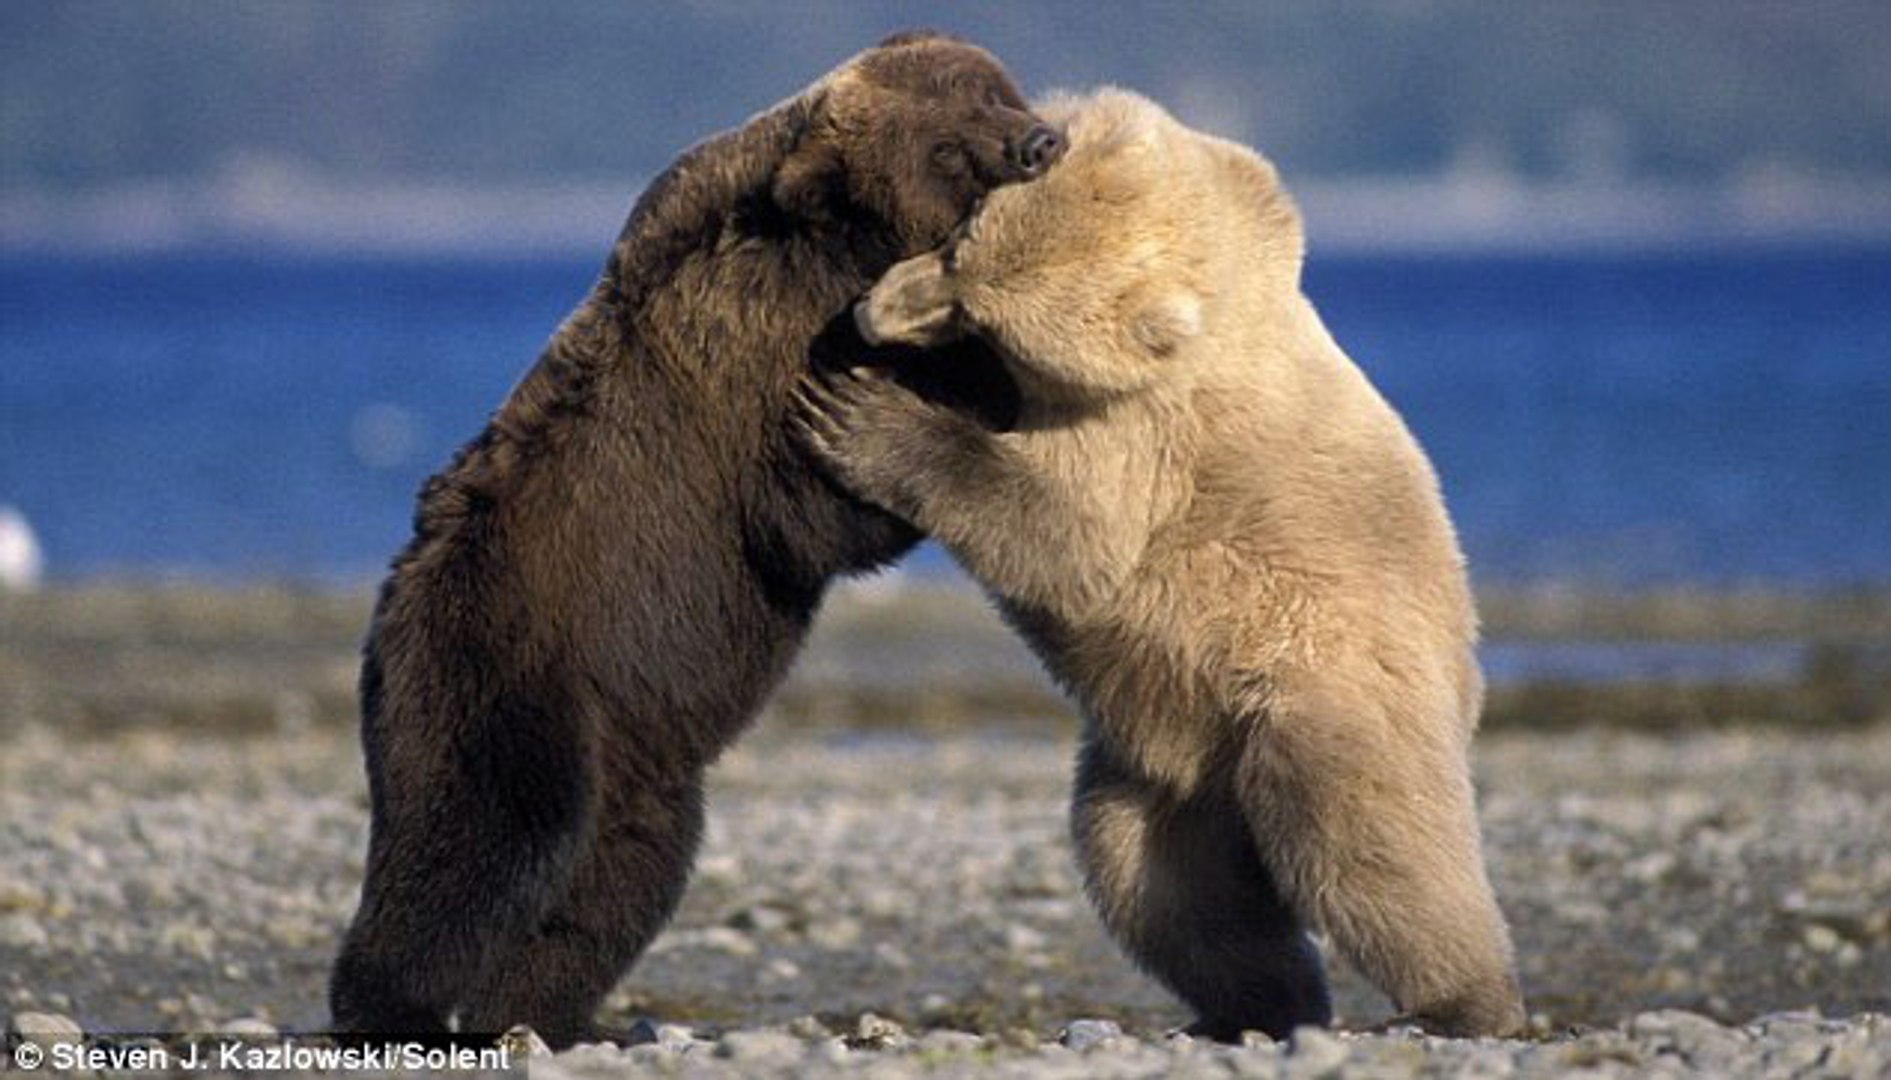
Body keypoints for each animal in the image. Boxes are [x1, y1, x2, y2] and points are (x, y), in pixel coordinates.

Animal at [327, 32, 1062, 1048]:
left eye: (995, 91)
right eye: (949, 145)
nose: (1037, 143)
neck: (842, 244)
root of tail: (396, 597)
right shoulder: (753, 363)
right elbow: (815, 515)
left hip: (635, 749)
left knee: (617, 880)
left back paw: (548, 1015)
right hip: (502, 663)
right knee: (481, 838)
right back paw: (392, 1004)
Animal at [794, 88, 1526, 1039]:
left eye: (979, 313)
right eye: (958, 245)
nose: (869, 311)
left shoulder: (1149, 436)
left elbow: (1064, 535)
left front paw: (862, 416)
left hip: (1322, 695)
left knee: (1372, 845)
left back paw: (1461, 1002)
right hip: (1157, 767)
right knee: (1158, 882)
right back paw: (1249, 1005)